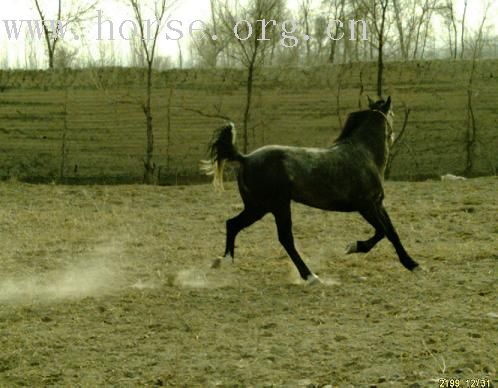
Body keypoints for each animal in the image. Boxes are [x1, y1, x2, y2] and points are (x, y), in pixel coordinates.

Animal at [200, 97, 418, 284]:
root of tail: (245, 158)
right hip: (275, 206)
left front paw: (413, 265)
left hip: (257, 207)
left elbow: (392, 232)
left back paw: (224, 261)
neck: (364, 155)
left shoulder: (378, 203)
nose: (392, 136)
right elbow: (382, 232)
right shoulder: (365, 206)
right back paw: (311, 277)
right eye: (393, 114)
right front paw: (352, 247)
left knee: (232, 224)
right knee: (285, 238)